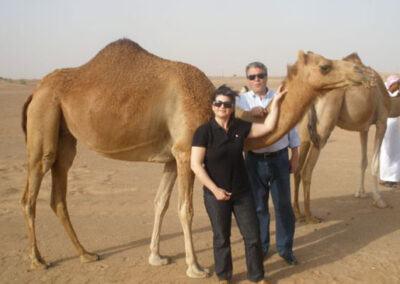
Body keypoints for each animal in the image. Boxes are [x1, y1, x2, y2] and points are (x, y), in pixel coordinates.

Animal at [21, 38, 366, 276]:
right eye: (325, 66)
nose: (361, 71)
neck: (209, 104)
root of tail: (36, 90)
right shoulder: (187, 151)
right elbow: (185, 210)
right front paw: (196, 267)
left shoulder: (172, 158)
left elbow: (160, 204)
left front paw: (156, 256)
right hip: (45, 119)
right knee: (31, 191)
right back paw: (38, 260)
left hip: (65, 138)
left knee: (58, 194)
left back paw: (85, 253)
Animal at [292, 52, 398, 223]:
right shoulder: (382, 121)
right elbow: (375, 163)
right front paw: (379, 200)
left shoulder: (363, 127)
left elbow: (363, 161)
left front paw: (360, 193)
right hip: (322, 131)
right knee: (307, 170)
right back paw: (310, 217)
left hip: (304, 134)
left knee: (297, 168)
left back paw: (298, 213)